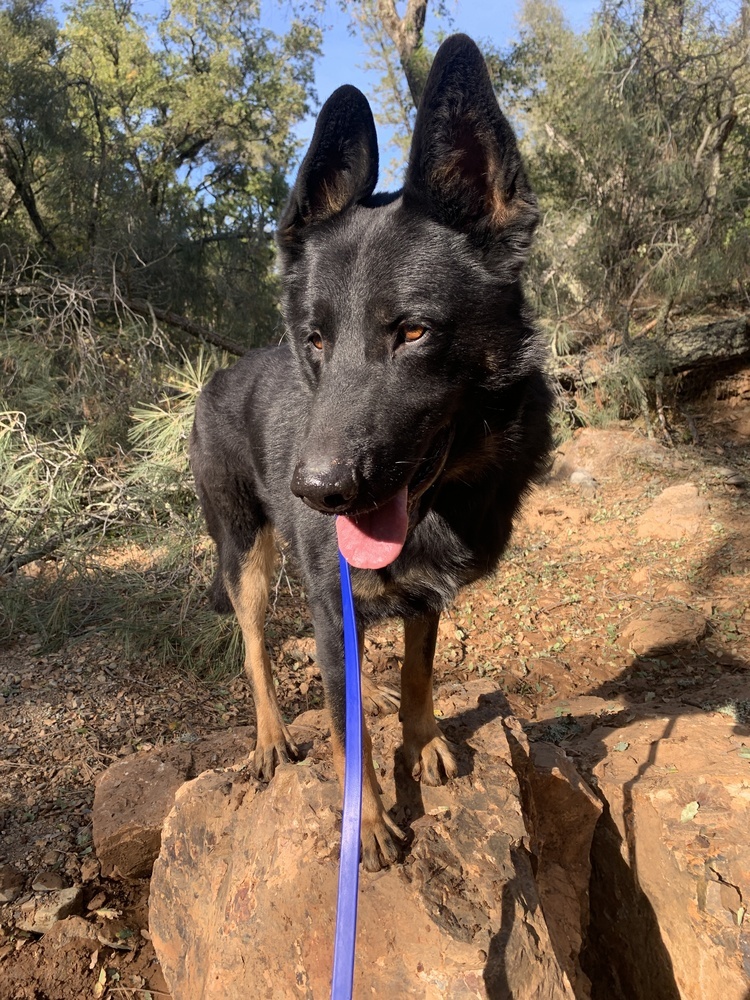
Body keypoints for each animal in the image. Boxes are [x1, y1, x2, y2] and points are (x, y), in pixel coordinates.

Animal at [189, 35, 552, 872]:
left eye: (413, 332)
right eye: (315, 338)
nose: (318, 491)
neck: (444, 494)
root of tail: (215, 378)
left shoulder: (422, 598)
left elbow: (419, 671)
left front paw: (422, 739)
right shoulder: (332, 604)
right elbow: (341, 728)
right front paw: (374, 821)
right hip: (245, 553)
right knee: (255, 647)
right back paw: (271, 737)